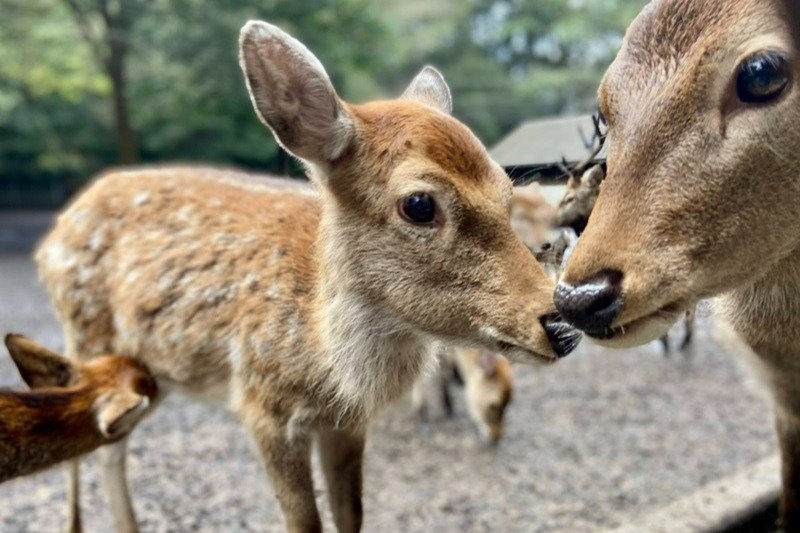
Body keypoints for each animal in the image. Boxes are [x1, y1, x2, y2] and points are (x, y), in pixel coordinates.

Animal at [36, 19, 580, 532]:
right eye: (420, 204)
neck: (325, 363)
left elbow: (351, 512)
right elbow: (303, 520)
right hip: (87, 336)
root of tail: (52, 237)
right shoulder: (261, 404)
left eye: (507, 192)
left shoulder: (345, 421)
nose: (561, 325)